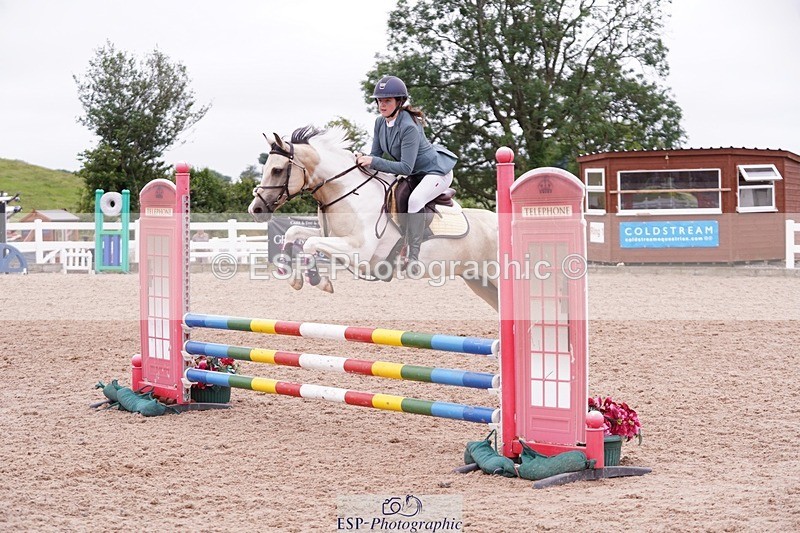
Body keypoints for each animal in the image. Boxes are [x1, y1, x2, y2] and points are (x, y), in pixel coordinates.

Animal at [248, 126, 499, 310]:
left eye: (277, 170)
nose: (256, 209)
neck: (348, 193)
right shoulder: (332, 235)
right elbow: (294, 233)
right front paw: (289, 274)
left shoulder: (360, 252)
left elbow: (309, 244)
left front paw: (319, 281)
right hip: (479, 281)